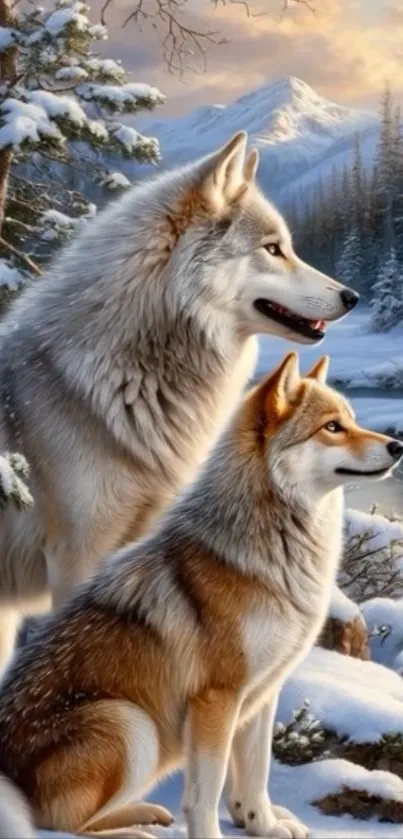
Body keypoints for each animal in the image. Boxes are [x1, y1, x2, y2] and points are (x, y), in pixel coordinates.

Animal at [0, 352, 401, 839]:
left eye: (353, 420)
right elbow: (206, 793)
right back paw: (134, 829)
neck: (275, 556)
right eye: (332, 427)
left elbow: (254, 774)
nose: (397, 446)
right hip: (130, 722)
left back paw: (147, 814)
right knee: (62, 824)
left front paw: (261, 823)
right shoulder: (216, 699)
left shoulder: (262, 693)